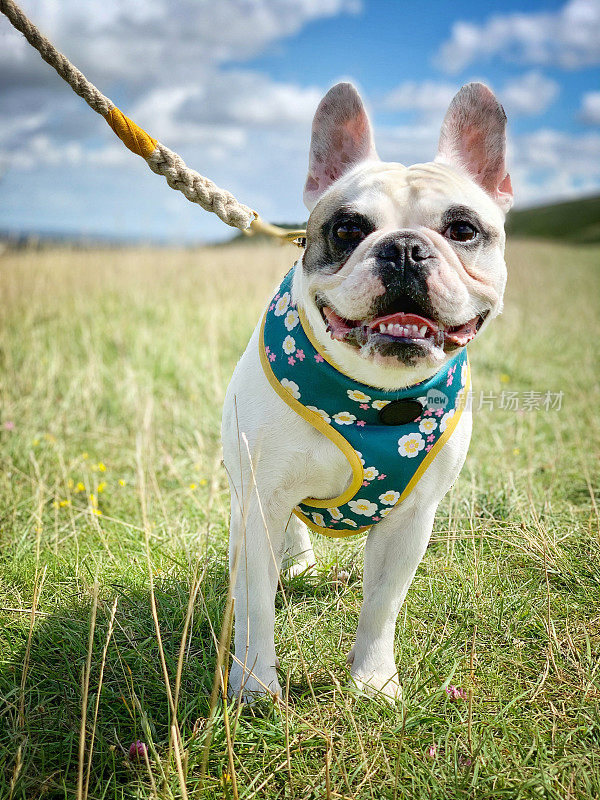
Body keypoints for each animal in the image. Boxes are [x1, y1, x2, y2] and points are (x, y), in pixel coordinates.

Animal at [223, 81, 512, 700]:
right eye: (349, 230)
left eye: (463, 231)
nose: (403, 248)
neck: (377, 396)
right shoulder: (260, 500)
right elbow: (255, 606)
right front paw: (255, 685)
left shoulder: (412, 520)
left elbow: (382, 604)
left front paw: (373, 682)